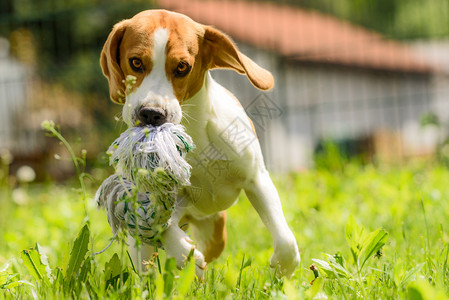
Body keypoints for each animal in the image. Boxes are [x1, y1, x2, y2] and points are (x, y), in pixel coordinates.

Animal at [100, 8, 300, 276]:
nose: (151, 114)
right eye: (136, 62)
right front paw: (184, 253)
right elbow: (158, 225)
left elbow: (286, 240)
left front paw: (281, 271)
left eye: (182, 67)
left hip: (216, 234)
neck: (195, 134)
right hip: (145, 246)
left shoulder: (256, 178)